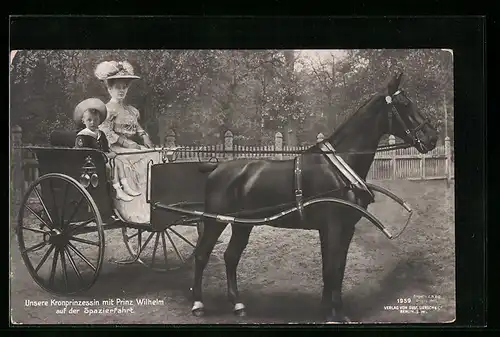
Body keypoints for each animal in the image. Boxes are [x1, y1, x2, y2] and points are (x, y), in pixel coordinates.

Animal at [190, 72, 438, 322]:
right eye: (404, 103)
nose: (432, 137)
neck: (339, 169)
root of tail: (216, 168)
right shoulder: (332, 226)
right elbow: (330, 269)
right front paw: (333, 313)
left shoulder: (345, 228)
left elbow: (337, 268)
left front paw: (332, 310)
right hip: (215, 221)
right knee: (201, 255)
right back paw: (198, 304)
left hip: (242, 224)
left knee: (230, 257)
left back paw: (238, 305)